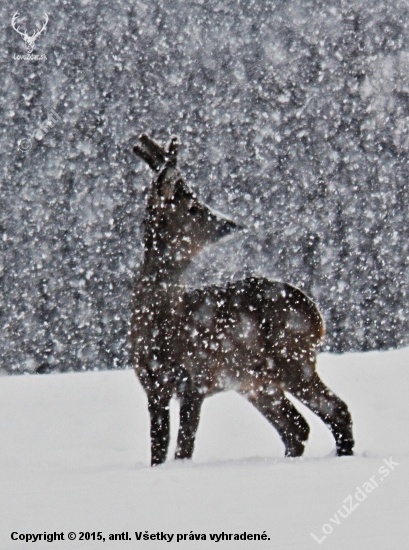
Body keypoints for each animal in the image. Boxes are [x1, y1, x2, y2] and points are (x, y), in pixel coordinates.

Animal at [131, 133, 354, 466]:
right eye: (193, 207)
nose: (229, 223)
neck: (164, 323)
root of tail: (317, 315)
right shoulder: (152, 384)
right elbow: (158, 451)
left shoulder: (197, 375)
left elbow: (184, 448)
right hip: (256, 380)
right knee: (296, 426)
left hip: (293, 357)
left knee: (334, 410)